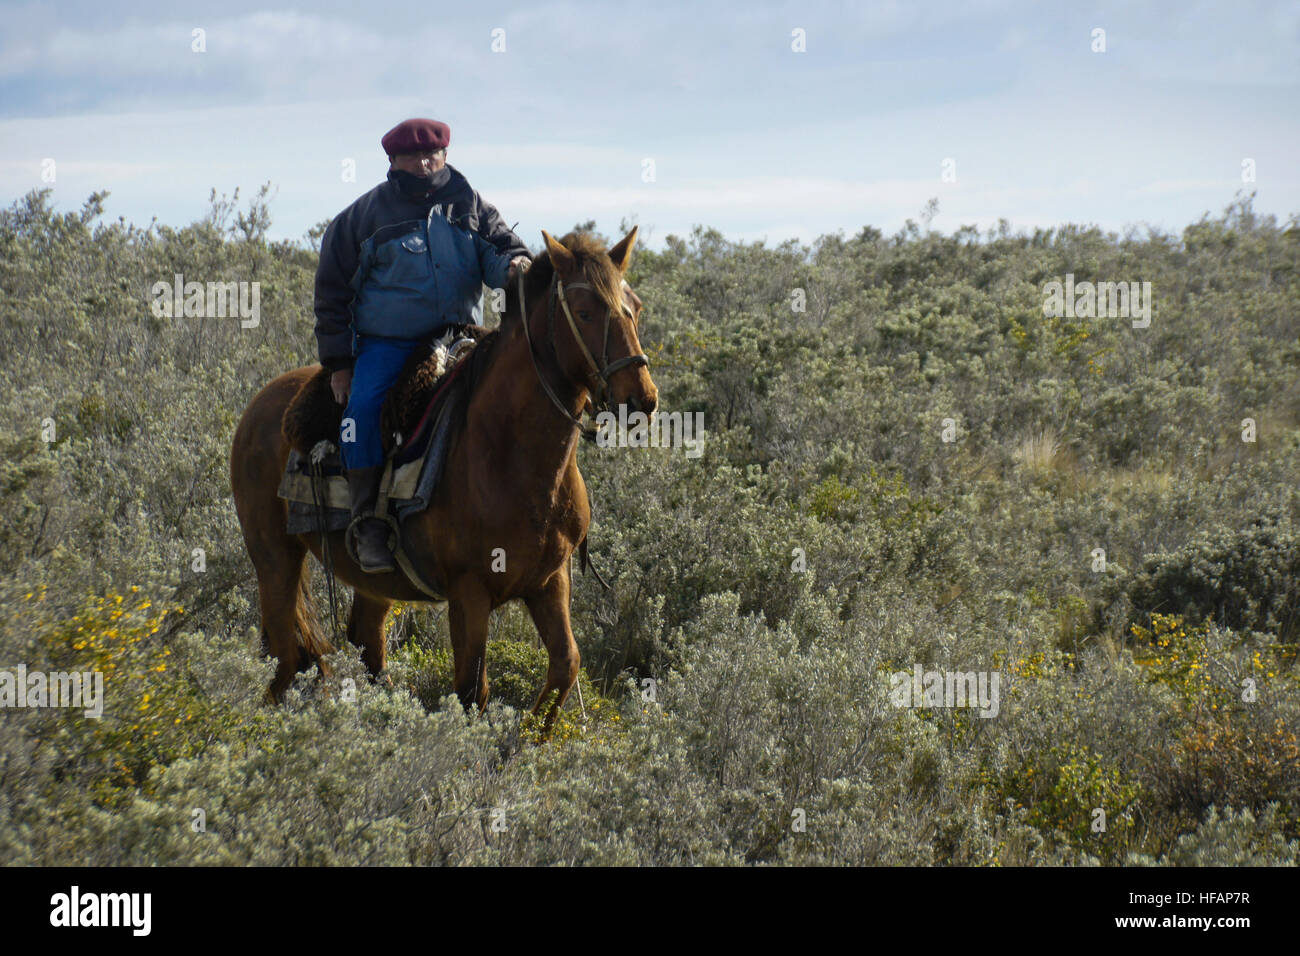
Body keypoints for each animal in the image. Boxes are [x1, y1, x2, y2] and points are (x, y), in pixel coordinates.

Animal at [228, 226, 655, 733]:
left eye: (636, 306)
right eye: (586, 311)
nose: (641, 398)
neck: (509, 453)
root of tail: (262, 404)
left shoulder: (550, 581)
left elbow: (564, 666)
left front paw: (524, 742)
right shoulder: (468, 592)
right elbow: (472, 691)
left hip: (373, 581)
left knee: (365, 644)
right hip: (274, 556)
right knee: (286, 660)